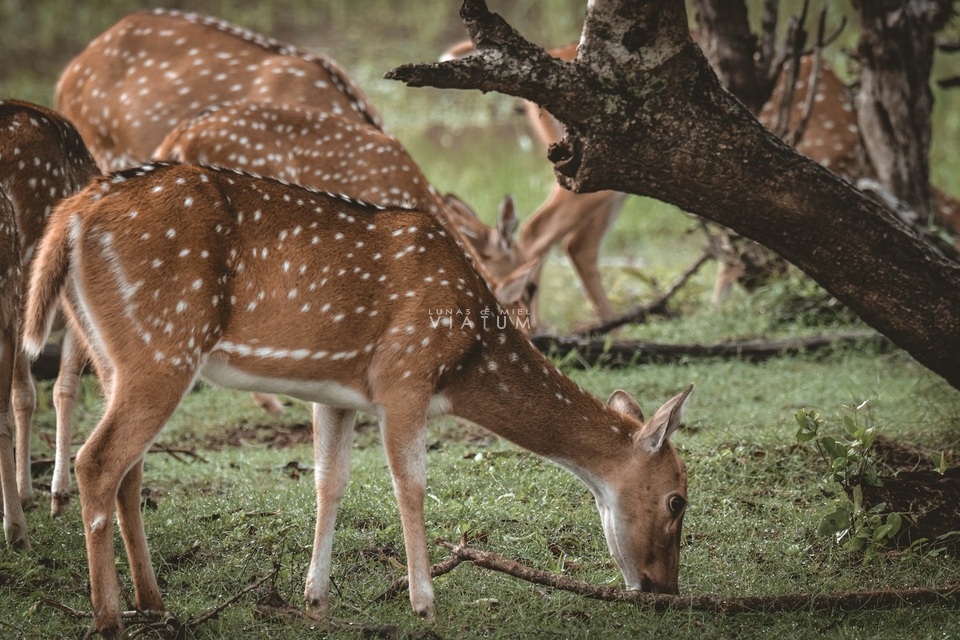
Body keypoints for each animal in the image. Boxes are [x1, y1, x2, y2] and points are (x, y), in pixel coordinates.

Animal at [24, 164, 696, 636]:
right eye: (677, 500)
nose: (665, 591)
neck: (467, 356)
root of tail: (70, 215)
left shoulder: (335, 393)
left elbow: (330, 482)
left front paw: (315, 599)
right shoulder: (405, 376)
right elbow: (411, 485)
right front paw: (425, 604)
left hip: (110, 351)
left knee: (128, 472)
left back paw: (155, 604)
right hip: (161, 346)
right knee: (97, 461)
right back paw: (109, 618)